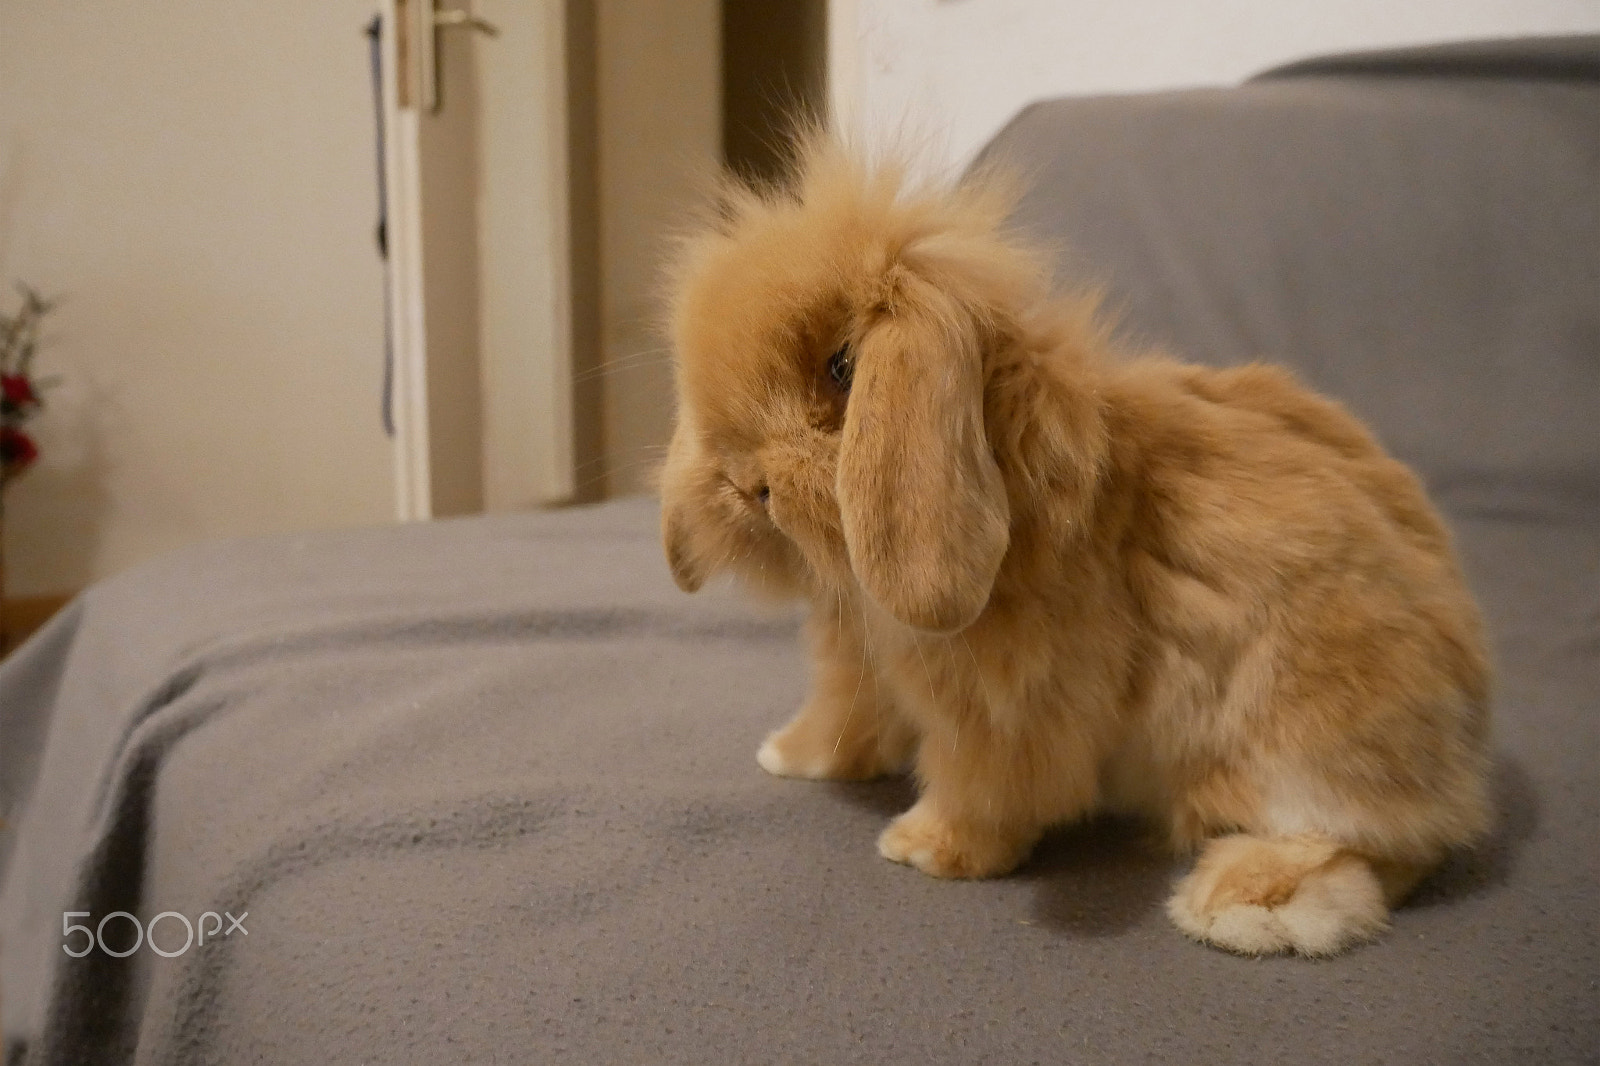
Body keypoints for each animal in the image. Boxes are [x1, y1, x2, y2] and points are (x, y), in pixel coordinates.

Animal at [657, 133, 1491, 957]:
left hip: (1299, 737)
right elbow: (843, 717)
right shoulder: (859, 660)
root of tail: (1465, 739)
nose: (742, 484)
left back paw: (1246, 905)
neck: (1014, 474)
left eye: (842, 368)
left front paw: (927, 848)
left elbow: (984, 783)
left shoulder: (1006, 705)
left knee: (1385, 846)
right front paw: (791, 755)